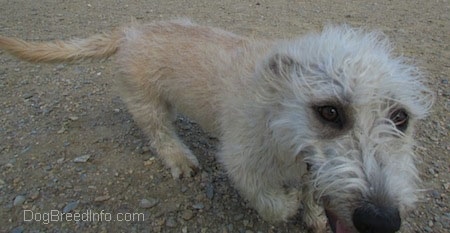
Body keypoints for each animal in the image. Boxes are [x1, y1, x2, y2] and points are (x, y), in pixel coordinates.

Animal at [1, 19, 434, 232]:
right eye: (329, 112)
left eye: (401, 118)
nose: (381, 221)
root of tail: (130, 31)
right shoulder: (243, 164)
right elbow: (273, 204)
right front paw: (291, 204)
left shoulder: (312, 169)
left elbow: (314, 192)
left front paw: (312, 215)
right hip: (148, 105)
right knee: (160, 135)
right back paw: (180, 158)